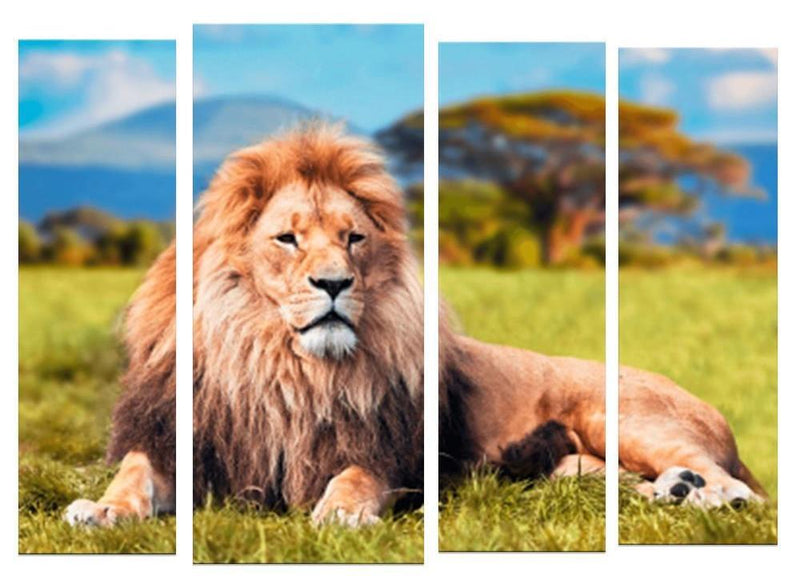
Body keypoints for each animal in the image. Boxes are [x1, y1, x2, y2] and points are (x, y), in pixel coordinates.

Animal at [65, 124, 423, 528]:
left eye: (354, 238)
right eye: (287, 239)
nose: (334, 283)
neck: (282, 364)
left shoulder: (386, 452)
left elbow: (359, 476)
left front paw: (342, 512)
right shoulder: (177, 441)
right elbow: (133, 470)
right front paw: (103, 508)